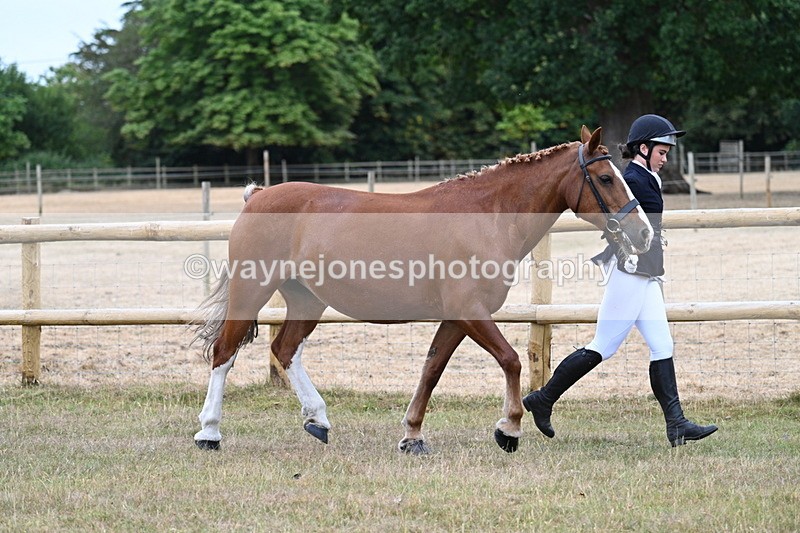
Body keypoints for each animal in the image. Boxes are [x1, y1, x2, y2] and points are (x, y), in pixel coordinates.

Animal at [192, 126, 653, 454]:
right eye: (606, 178)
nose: (644, 233)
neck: (488, 216)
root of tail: (258, 196)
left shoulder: (457, 317)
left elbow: (431, 369)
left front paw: (412, 435)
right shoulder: (471, 311)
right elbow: (511, 361)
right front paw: (509, 429)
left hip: (307, 300)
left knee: (284, 349)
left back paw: (317, 419)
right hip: (252, 289)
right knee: (225, 352)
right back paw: (209, 433)